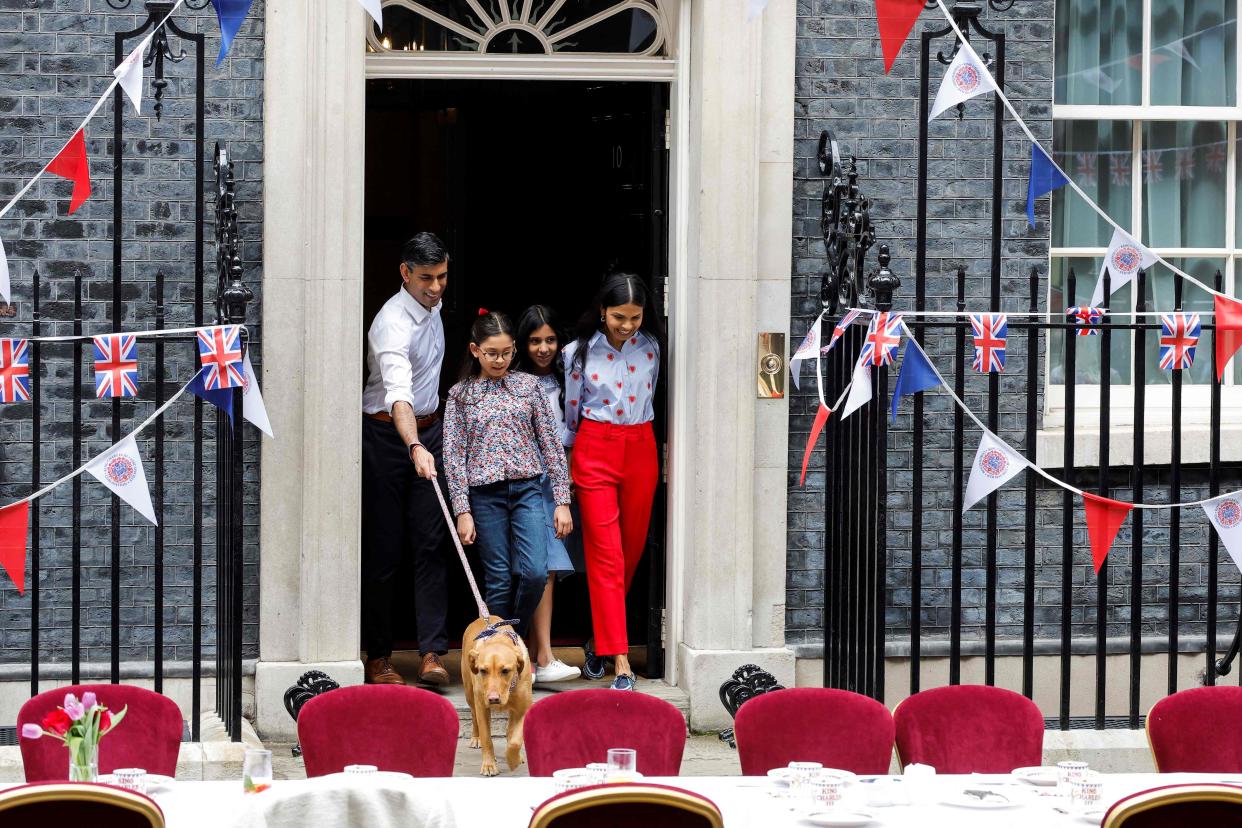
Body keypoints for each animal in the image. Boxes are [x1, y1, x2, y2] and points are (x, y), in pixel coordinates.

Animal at [462, 615, 529, 779]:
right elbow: (487, 738)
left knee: (510, 729)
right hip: (470, 694)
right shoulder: (482, 707)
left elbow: (515, 740)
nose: (493, 699)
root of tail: (484, 617)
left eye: (505, 670)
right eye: (483, 671)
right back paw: (476, 737)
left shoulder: (523, 707)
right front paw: (489, 765)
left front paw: (513, 758)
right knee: (474, 716)